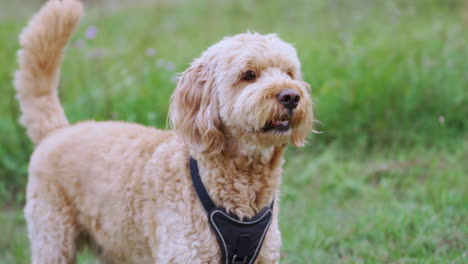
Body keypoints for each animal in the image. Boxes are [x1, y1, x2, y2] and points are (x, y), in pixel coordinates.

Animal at [14, 0, 314, 262]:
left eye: (289, 73)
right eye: (248, 75)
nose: (291, 96)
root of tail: (57, 131)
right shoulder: (186, 252)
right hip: (53, 239)